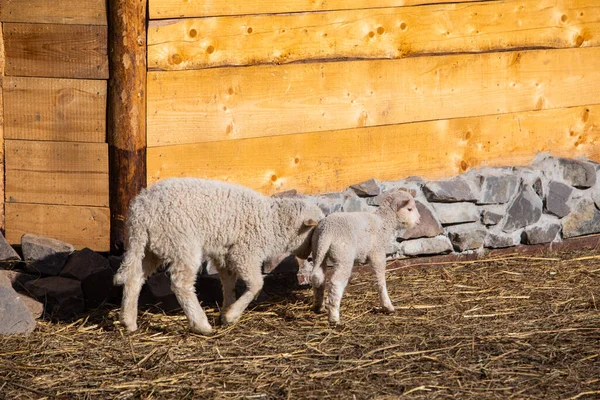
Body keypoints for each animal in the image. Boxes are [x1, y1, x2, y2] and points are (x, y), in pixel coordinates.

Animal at [115, 179, 326, 334]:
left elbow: (228, 283)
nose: (310, 255)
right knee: (180, 284)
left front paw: (226, 312)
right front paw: (233, 314)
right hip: (182, 243)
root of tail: (141, 212)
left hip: (149, 247)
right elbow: (257, 284)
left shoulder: (224, 254)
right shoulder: (245, 251)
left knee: (134, 278)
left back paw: (129, 321)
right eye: (315, 233)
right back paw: (201, 324)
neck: (273, 222)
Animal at [310, 189, 422, 324]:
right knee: (336, 283)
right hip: (344, 256)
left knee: (318, 277)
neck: (384, 222)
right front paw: (387, 306)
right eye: (409, 209)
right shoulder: (377, 252)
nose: (420, 219)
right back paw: (334, 317)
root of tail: (327, 232)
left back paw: (319, 306)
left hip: (318, 251)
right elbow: (380, 280)